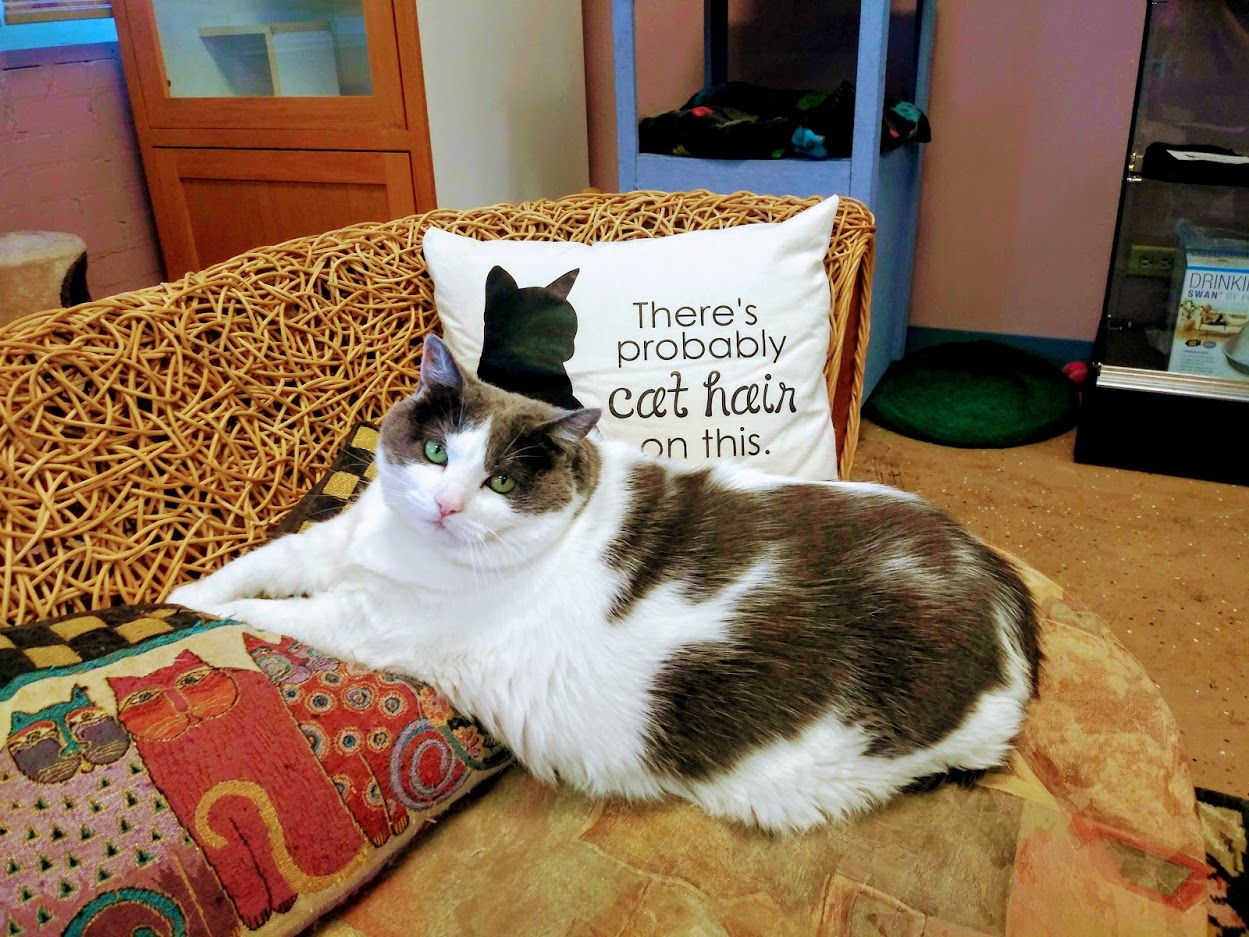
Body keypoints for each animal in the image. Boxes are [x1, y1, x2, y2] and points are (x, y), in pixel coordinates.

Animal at [108, 654, 364, 934]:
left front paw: (282, 900)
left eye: (191, 681)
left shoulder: (257, 804)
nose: (182, 707)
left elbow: (264, 853)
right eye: (145, 698)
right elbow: (230, 861)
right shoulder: (194, 816)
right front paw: (254, 912)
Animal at [166, 337, 1044, 834]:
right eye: (437, 452)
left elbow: (275, 614)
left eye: (502, 482)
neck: (396, 548)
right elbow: (257, 564)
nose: (447, 504)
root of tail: (995, 576)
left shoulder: (370, 621)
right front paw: (180, 598)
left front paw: (209, 621)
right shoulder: (327, 542)